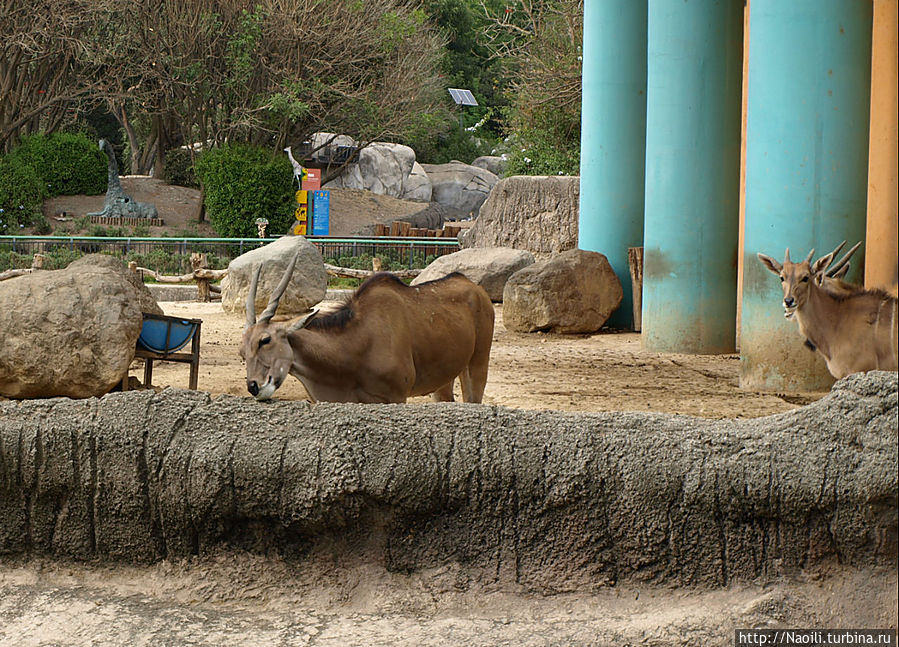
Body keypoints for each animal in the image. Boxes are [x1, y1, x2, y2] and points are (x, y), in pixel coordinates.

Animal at [239, 256, 496, 402]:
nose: (254, 387)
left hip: (477, 366)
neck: (357, 341)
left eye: (265, 340)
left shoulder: (396, 397)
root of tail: (474, 288)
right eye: (242, 352)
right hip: (444, 381)